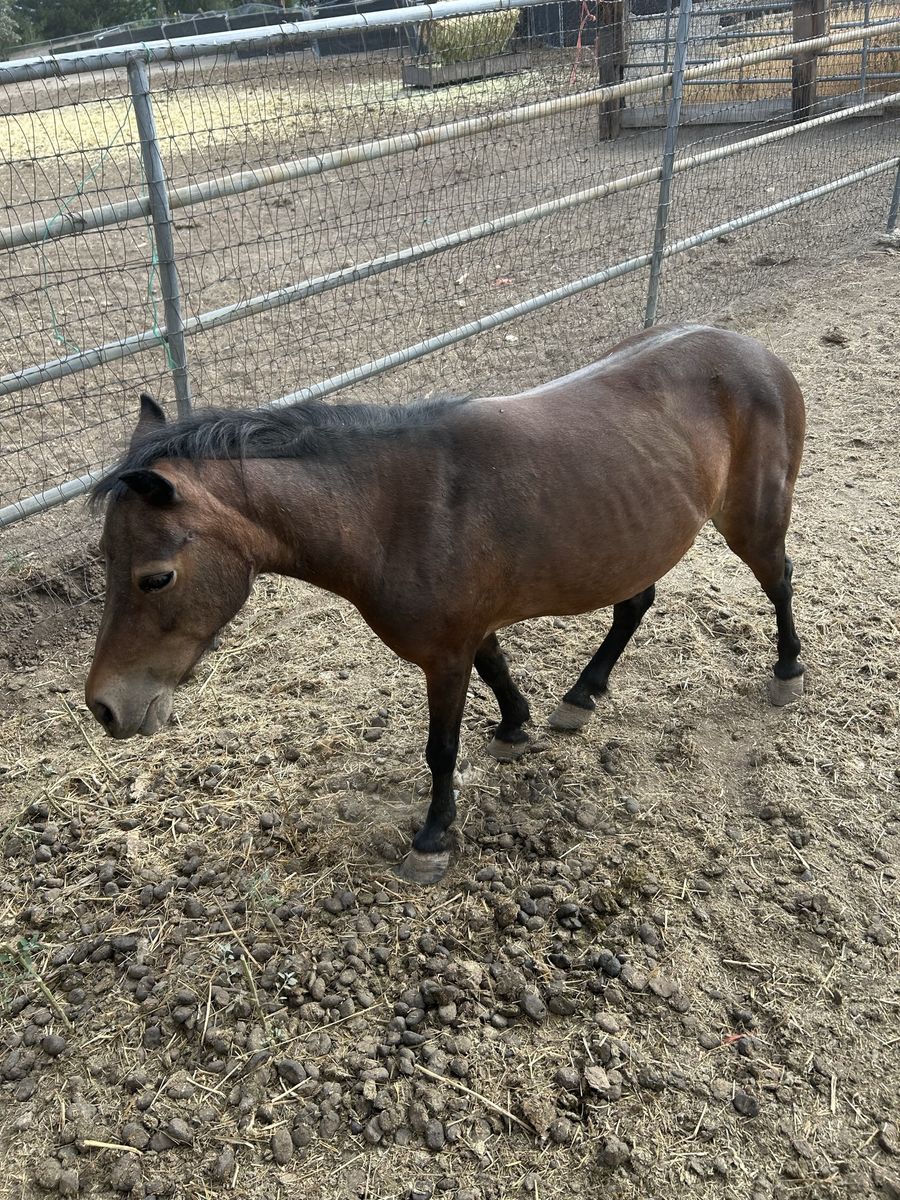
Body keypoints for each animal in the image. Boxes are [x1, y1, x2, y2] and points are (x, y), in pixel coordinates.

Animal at [85, 324, 806, 884]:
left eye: (155, 578)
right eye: (106, 560)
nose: (105, 707)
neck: (390, 512)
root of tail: (757, 354)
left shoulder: (444, 654)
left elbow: (441, 747)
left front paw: (433, 838)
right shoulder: (468, 633)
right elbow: (497, 670)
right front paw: (516, 727)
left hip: (752, 520)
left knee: (779, 581)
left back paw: (787, 670)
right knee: (635, 605)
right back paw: (583, 693)